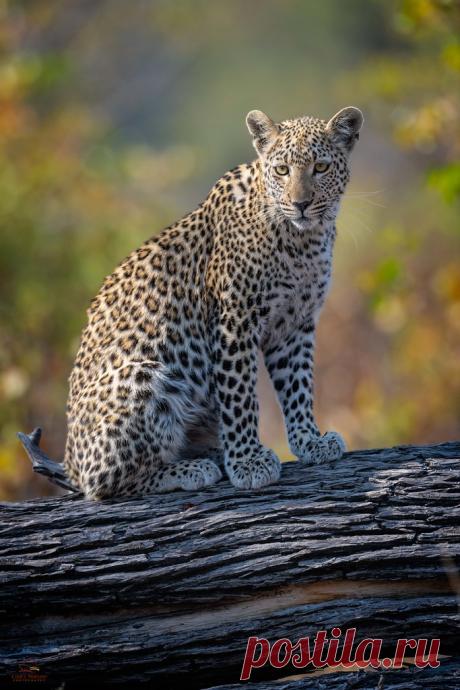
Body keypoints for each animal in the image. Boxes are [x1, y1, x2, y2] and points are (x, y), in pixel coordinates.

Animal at [64, 105, 363, 500]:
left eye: (322, 167)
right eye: (283, 170)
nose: (301, 204)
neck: (304, 242)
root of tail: (69, 463)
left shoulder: (295, 323)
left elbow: (299, 386)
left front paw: (309, 441)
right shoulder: (234, 319)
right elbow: (240, 395)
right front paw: (248, 462)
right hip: (143, 375)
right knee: (103, 484)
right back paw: (192, 469)